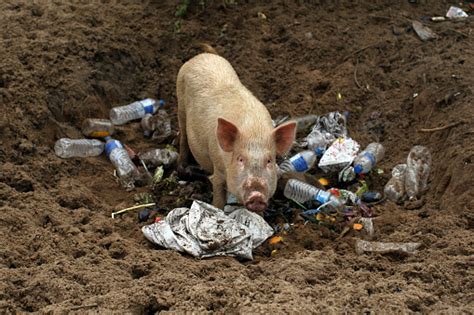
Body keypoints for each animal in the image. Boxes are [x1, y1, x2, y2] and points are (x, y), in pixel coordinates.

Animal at [178, 46, 296, 215]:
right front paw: (217, 209)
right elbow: (218, 194)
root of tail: (200, 56)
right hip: (180, 105)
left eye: (269, 161)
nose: (256, 194)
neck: (254, 130)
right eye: (240, 159)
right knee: (182, 136)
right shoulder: (218, 169)